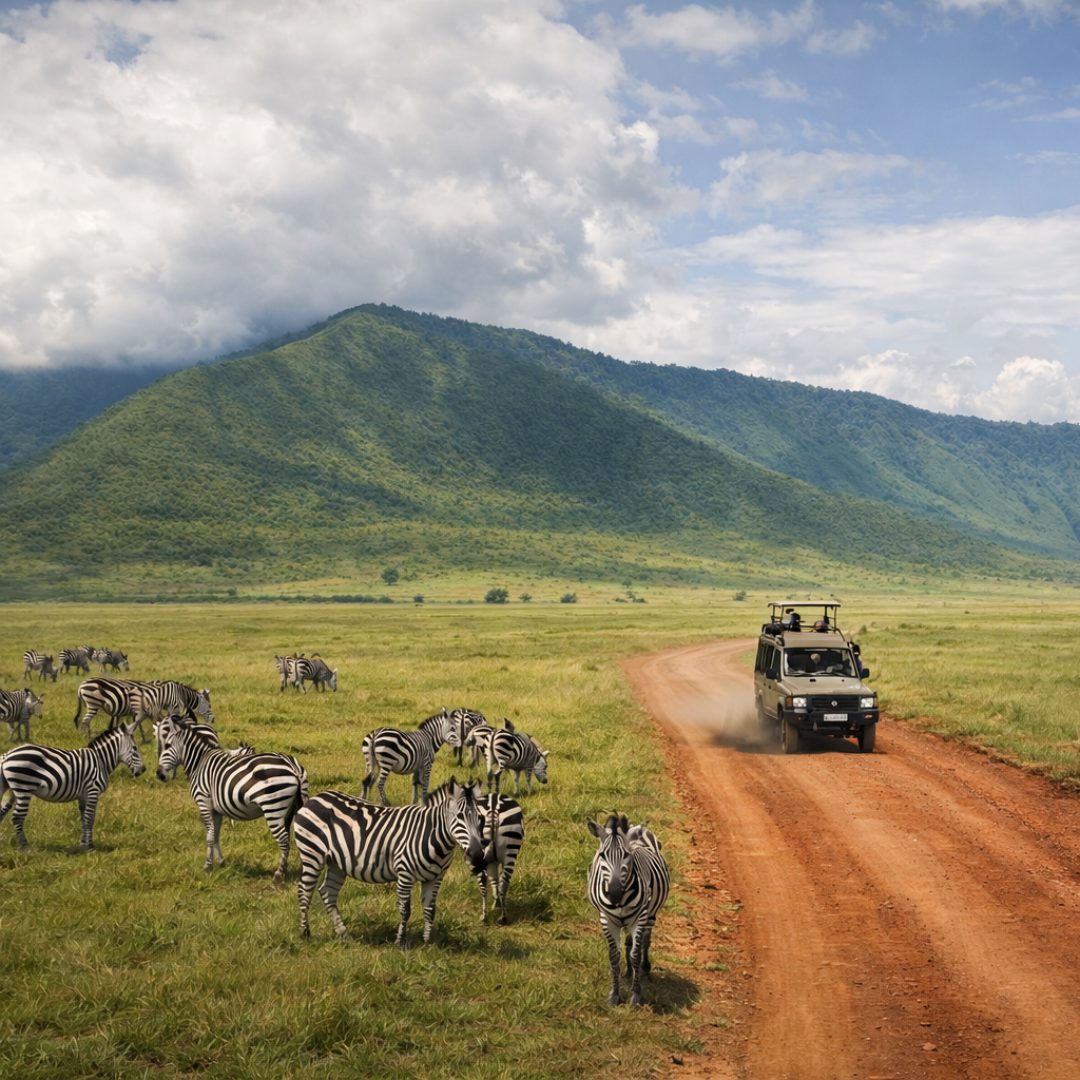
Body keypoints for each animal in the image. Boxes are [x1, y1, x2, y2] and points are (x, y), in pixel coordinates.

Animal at [0, 723, 145, 851]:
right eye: (135, 749)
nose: (143, 770)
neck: (101, 760)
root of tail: (7, 755)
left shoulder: (83, 795)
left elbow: (84, 819)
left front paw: (83, 844)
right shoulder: (93, 790)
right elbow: (89, 819)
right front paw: (89, 847)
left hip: (12, 790)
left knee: (2, 812)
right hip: (23, 789)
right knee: (17, 817)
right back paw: (25, 847)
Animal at [154, 714, 309, 883]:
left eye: (167, 745)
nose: (159, 774)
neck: (199, 762)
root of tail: (292, 766)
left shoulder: (204, 802)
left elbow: (209, 835)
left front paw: (207, 867)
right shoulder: (216, 809)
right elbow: (216, 834)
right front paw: (221, 862)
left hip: (273, 807)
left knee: (284, 841)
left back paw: (279, 875)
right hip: (294, 808)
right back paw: (299, 871)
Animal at [294, 777, 486, 947]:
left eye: (480, 818)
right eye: (459, 817)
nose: (477, 855)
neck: (432, 835)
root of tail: (315, 798)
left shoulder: (435, 877)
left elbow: (430, 910)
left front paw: (427, 943)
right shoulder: (405, 874)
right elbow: (405, 910)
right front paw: (400, 943)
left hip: (336, 863)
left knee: (328, 891)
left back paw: (344, 935)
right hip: (312, 854)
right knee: (304, 890)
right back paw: (305, 933)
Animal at [474, 793, 525, 925]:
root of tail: (493, 810)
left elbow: (493, 880)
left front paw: (496, 903)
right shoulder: (493, 861)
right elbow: (495, 880)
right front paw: (496, 903)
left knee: (484, 885)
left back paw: (487, 917)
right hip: (510, 852)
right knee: (503, 884)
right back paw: (501, 917)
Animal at [586, 813, 671, 1006]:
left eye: (626, 855)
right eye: (602, 855)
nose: (614, 893)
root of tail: (635, 828)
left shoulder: (640, 917)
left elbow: (635, 954)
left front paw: (636, 995)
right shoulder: (606, 919)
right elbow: (614, 956)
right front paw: (614, 995)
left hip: (650, 914)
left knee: (645, 940)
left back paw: (644, 968)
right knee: (629, 941)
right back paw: (629, 972)